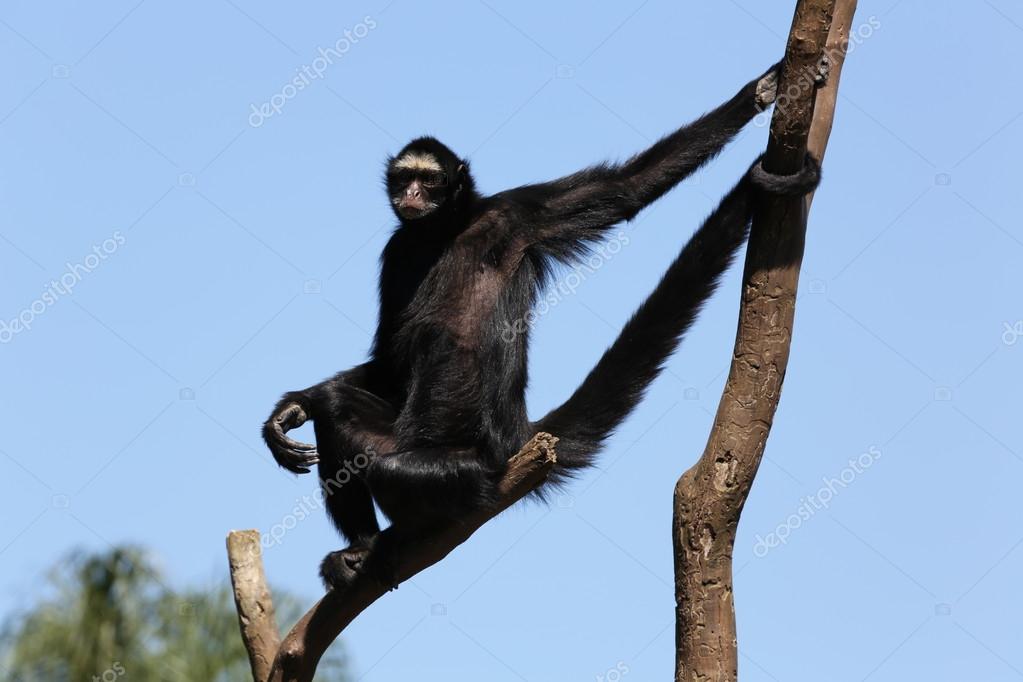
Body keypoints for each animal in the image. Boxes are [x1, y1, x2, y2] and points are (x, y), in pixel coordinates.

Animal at [262, 62, 820, 591]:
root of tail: (516, 441)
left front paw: (760, 90)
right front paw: (291, 408)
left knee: (390, 462)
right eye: (403, 179)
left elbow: (626, 191)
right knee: (339, 407)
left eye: (432, 180)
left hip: (469, 471)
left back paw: (390, 539)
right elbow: (389, 361)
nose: (413, 194)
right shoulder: (397, 251)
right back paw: (361, 543)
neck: (443, 233)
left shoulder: (515, 214)